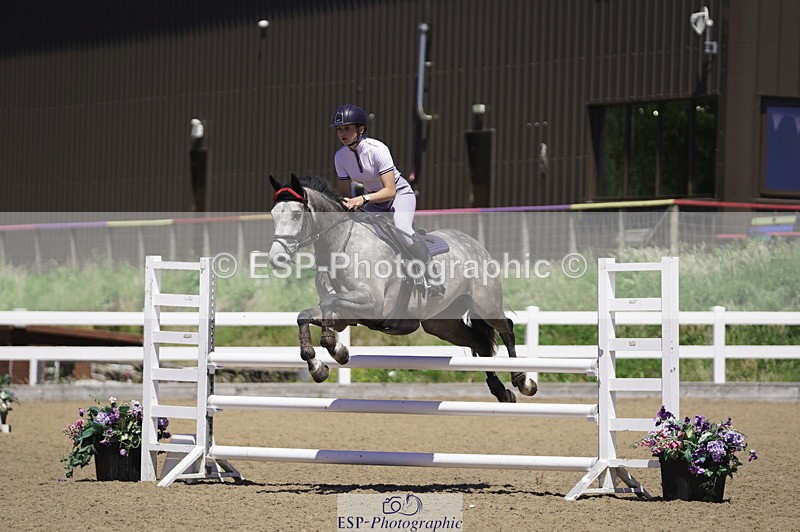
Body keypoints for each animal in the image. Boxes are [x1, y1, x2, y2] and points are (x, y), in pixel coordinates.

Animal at [267, 174, 537, 402]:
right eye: (273, 215)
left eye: (296, 215)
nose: (276, 259)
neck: (341, 244)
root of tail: (474, 243)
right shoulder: (349, 314)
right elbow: (307, 315)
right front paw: (320, 366)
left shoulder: (372, 304)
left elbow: (328, 305)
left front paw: (336, 350)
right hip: (442, 323)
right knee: (480, 343)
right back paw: (501, 391)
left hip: (485, 304)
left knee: (506, 329)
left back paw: (522, 381)